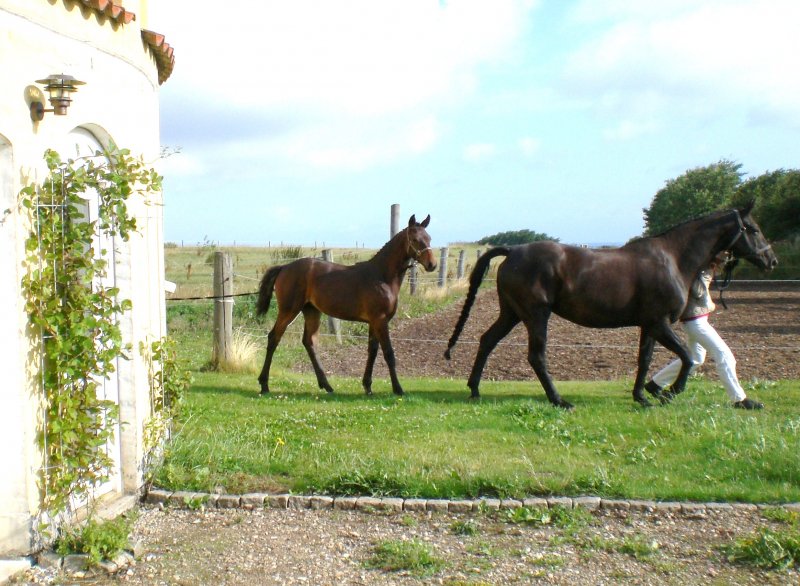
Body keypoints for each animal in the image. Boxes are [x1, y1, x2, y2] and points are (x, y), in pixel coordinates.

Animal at [256, 215, 437, 396]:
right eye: (415, 240)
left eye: (429, 238)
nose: (432, 264)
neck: (381, 276)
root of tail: (284, 267)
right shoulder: (380, 320)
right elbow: (388, 353)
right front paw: (398, 389)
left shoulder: (374, 322)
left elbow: (372, 351)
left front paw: (367, 386)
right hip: (289, 310)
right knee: (273, 338)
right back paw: (264, 385)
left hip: (311, 311)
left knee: (309, 341)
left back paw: (327, 385)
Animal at [444, 203, 777, 409]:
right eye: (753, 228)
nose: (771, 260)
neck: (672, 258)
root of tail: (514, 250)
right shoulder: (659, 323)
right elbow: (686, 356)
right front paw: (671, 392)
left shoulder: (649, 325)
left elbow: (645, 360)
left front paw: (643, 396)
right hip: (536, 315)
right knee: (536, 356)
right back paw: (559, 400)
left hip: (512, 313)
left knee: (487, 340)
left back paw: (475, 389)